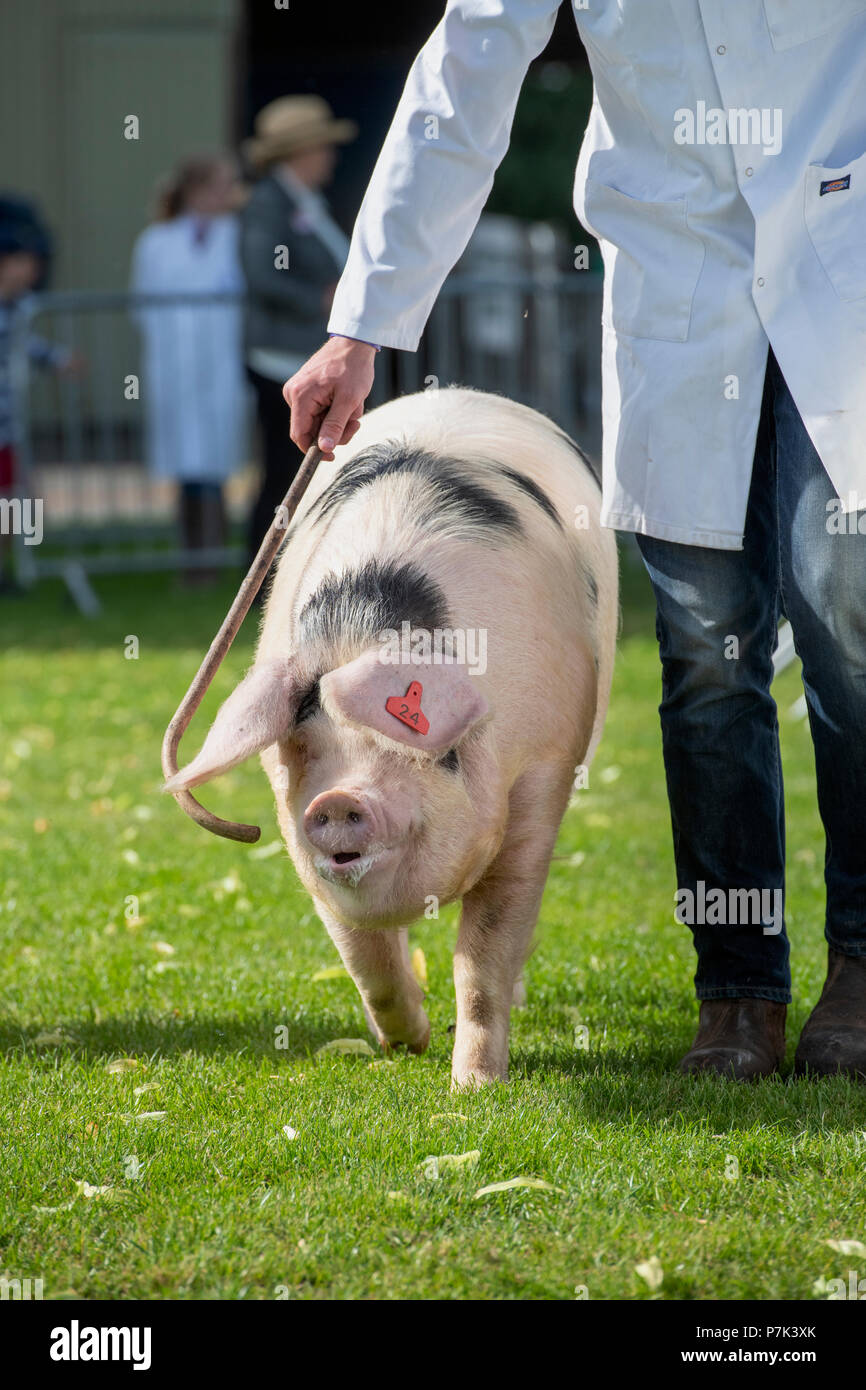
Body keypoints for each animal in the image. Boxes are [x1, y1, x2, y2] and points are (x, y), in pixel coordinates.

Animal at [167, 386, 617, 1089]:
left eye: (440, 754)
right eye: (304, 744)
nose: (339, 800)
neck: (364, 638)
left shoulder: (541, 775)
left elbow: (484, 950)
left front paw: (474, 1086)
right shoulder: (295, 828)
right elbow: (361, 952)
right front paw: (407, 1045)